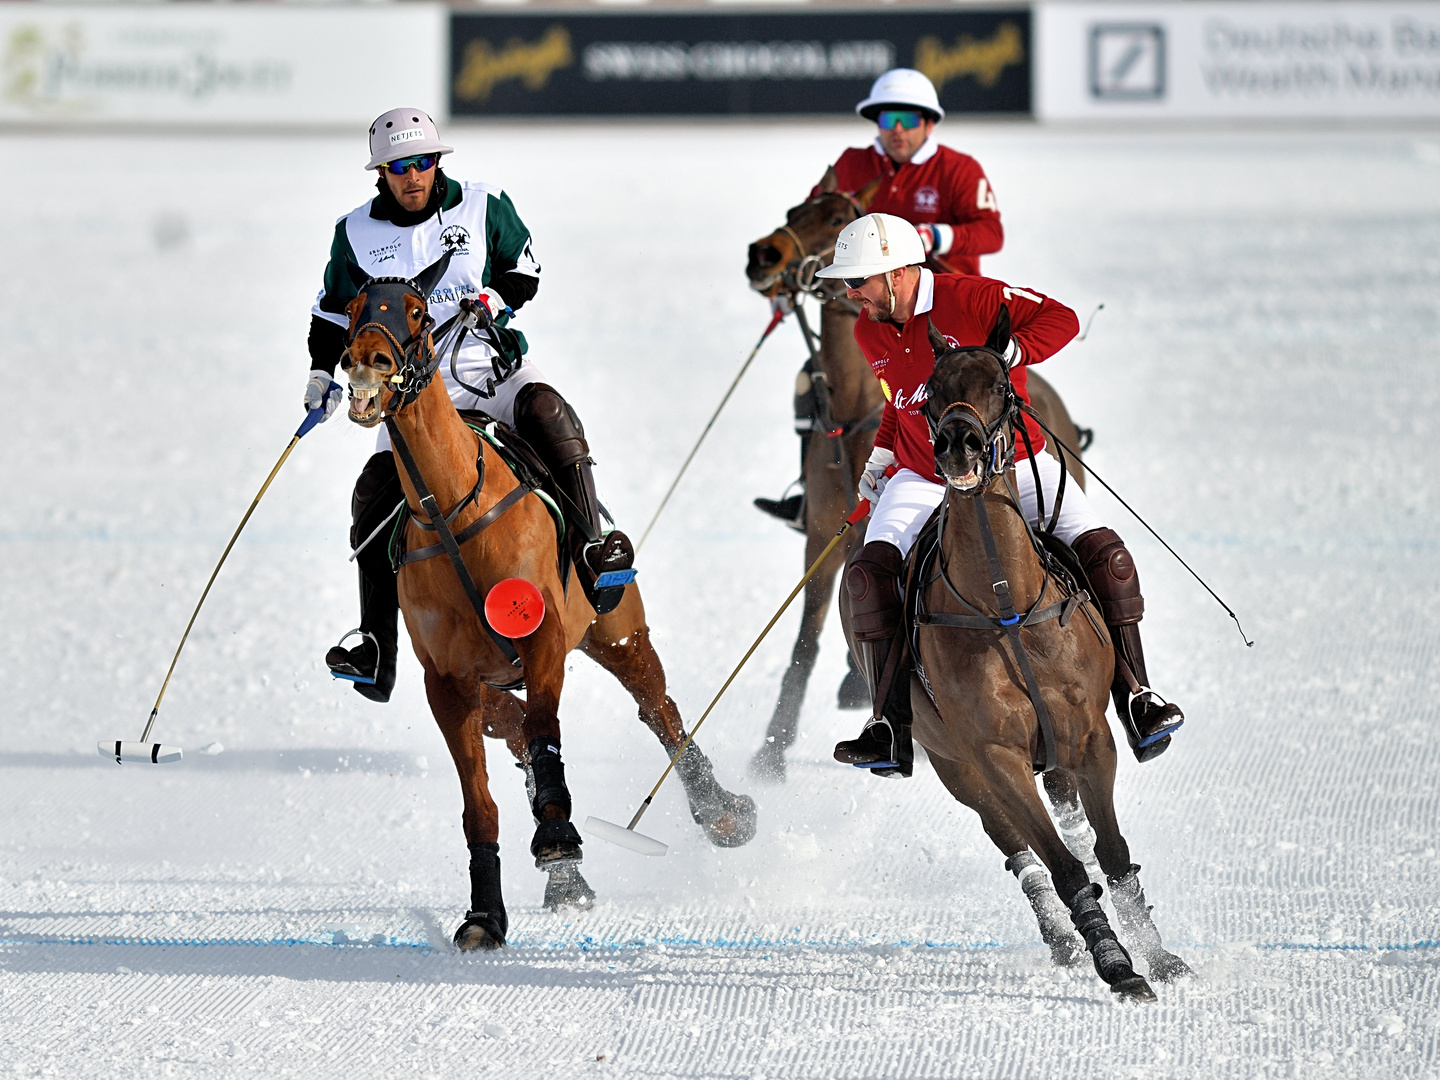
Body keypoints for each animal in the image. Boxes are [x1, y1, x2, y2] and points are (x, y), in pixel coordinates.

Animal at [341, 257, 760, 950]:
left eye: (419, 312)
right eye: (350, 309)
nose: (367, 363)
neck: (454, 515)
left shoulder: (542, 641)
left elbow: (545, 730)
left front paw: (558, 836)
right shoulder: (446, 683)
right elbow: (480, 802)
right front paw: (485, 913)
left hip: (616, 632)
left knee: (659, 710)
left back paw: (723, 812)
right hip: (487, 688)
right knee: (514, 730)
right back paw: (567, 881)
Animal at [743, 180, 1088, 789]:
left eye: (835, 215)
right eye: (794, 209)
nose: (763, 256)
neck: (852, 411)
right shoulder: (824, 534)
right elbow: (808, 638)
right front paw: (770, 754)